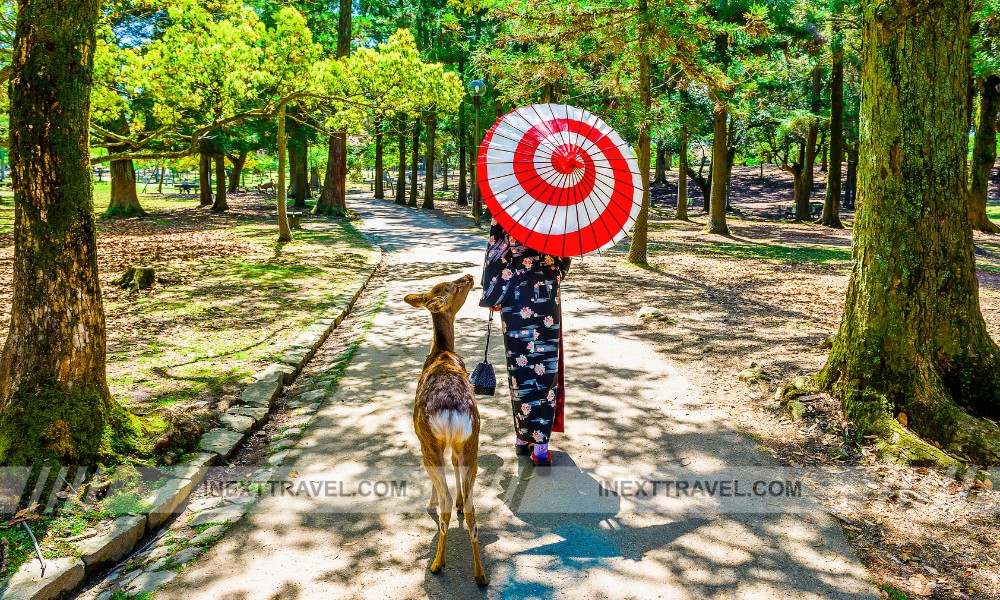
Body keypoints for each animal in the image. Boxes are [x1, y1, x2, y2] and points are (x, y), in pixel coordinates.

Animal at [402, 274, 488, 588]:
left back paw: (437, 564)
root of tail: (451, 411)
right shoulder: (458, 445)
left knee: (445, 503)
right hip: (473, 438)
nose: (470, 276)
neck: (441, 353)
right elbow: (455, 467)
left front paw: (429, 501)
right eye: (454, 286)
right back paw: (481, 575)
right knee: (473, 508)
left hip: (428, 442)